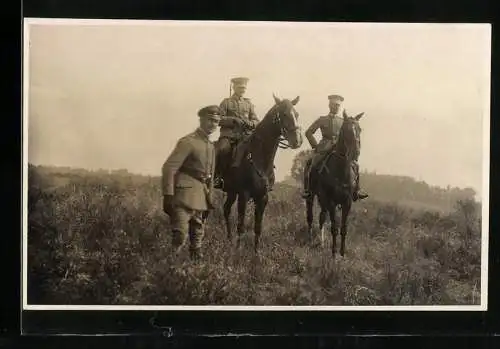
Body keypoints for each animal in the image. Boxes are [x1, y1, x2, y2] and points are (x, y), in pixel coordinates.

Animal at [215, 94, 300, 253]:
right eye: (284, 114)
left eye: (296, 114)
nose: (297, 141)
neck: (258, 158)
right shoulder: (244, 195)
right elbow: (241, 225)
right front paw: (238, 250)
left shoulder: (263, 197)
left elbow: (258, 227)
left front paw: (256, 253)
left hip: (231, 192)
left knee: (226, 209)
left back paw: (228, 240)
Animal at [304, 111, 364, 256]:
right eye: (346, 130)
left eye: (359, 129)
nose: (356, 153)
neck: (341, 170)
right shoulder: (331, 201)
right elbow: (334, 227)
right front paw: (333, 253)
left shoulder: (347, 202)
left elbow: (343, 228)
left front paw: (342, 253)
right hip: (312, 197)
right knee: (310, 217)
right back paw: (311, 239)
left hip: (323, 200)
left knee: (321, 217)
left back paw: (321, 243)